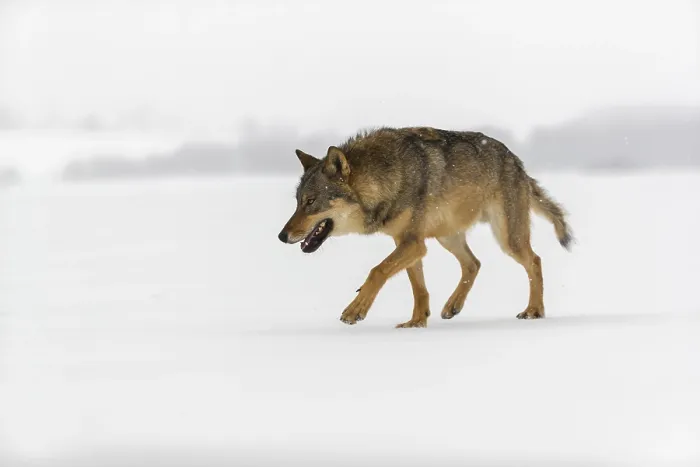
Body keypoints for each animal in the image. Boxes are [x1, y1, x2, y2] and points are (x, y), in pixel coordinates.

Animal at [277, 127, 573, 328]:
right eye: (297, 202)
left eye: (311, 202)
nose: (281, 236)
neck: (384, 178)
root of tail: (518, 162)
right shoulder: (408, 243)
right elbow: (418, 288)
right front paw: (416, 323)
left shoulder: (413, 244)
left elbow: (377, 271)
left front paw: (356, 309)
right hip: (447, 237)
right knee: (474, 264)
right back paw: (453, 305)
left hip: (507, 238)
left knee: (534, 261)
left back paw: (534, 310)